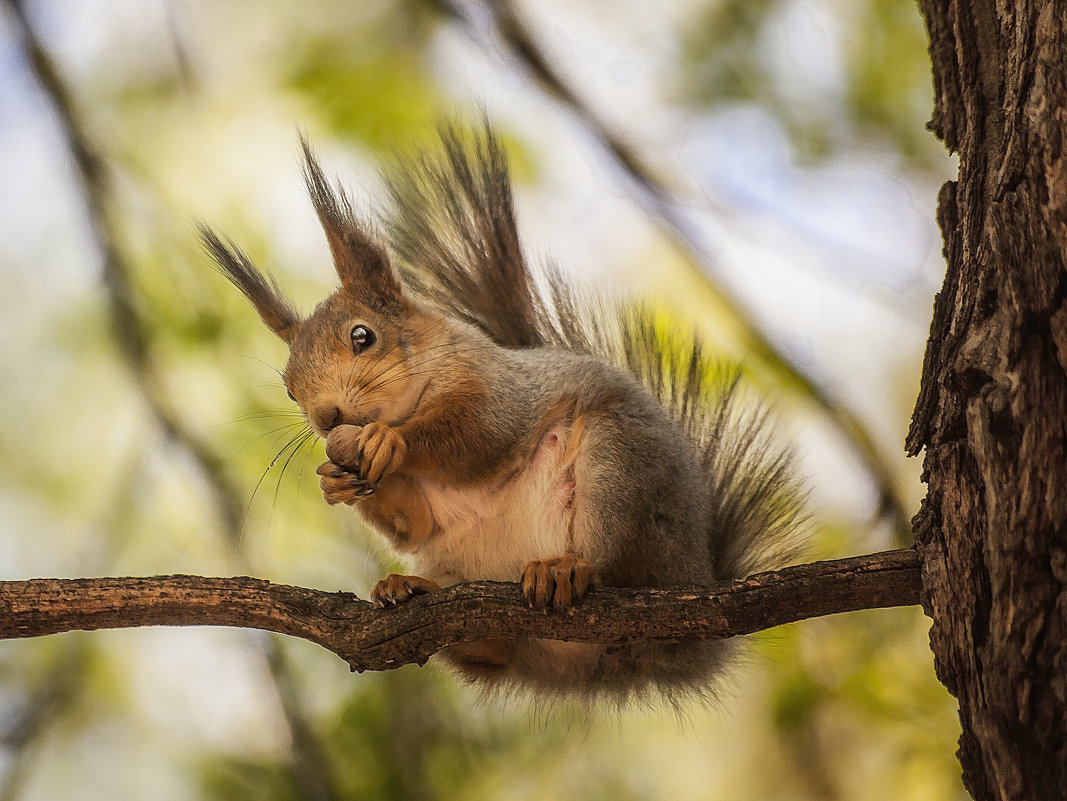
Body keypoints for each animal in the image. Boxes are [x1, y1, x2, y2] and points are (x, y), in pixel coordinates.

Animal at [198, 125, 802, 699]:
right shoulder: (421, 511)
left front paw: (391, 443)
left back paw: (566, 569)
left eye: (362, 337)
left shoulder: (498, 388)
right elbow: (413, 525)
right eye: (289, 388)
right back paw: (415, 591)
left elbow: (479, 434)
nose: (326, 419)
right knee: (487, 646)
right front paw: (335, 480)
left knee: (616, 564)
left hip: (624, 472)